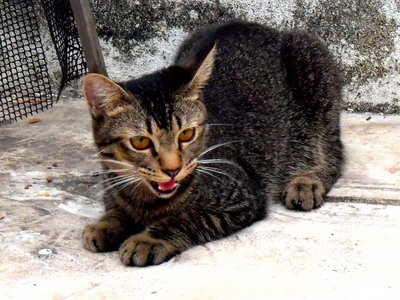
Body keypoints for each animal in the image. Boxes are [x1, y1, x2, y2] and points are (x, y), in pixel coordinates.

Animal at [82, 21, 344, 266]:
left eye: (186, 134)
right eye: (140, 141)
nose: (173, 169)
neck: (148, 200)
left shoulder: (242, 197)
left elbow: (185, 218)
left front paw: (148, 239)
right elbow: (115, 208)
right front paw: (106, 225)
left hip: (314, 69)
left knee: (332, 152)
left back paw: (307, 181)